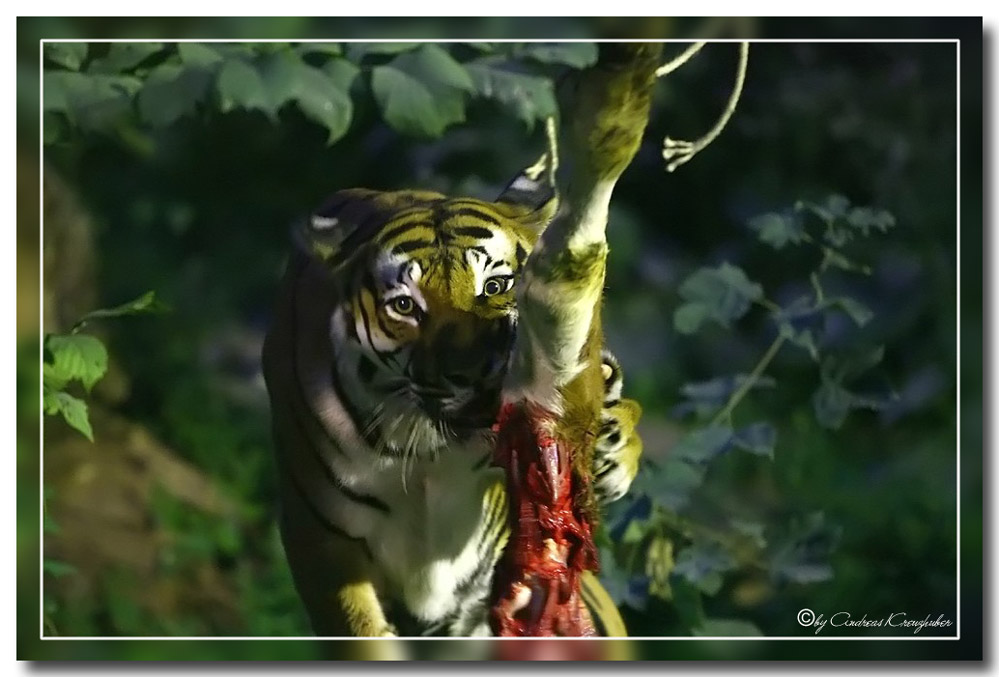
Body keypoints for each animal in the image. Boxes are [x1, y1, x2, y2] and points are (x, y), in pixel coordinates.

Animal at [262, 156, 644, 636]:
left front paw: (611, 447)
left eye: (495, 286)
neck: (433, 450)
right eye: (405, 306)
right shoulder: (319, 536)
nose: (472, 372)